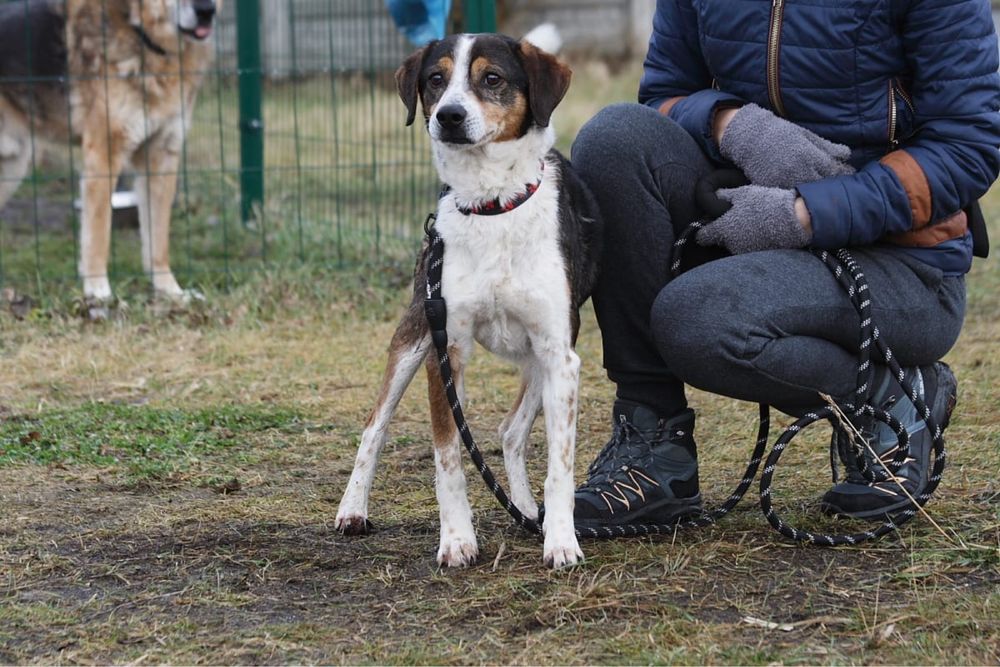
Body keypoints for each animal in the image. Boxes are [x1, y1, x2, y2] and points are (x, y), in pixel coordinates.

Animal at [0, 0, 218, 302]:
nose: (206, 11)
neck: (142, 35)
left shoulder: (161, 157)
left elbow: (158, 240)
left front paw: (169, 290)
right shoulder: (103, 156)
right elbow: (98, 231)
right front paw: (98, 291)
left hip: (13, 165)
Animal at [334, 34, 600, 568]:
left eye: (491, 78)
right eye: (435, 79)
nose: (449, 116)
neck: (492, 203)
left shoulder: (560, 356)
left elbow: (559, 465)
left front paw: (561, 541)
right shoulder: (446, 351)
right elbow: (448, 458)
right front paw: (457, 540)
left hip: (544, 359)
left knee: (512, 430)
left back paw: (527, 510)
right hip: (414, 333)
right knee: (374, 426)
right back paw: (353, 509)